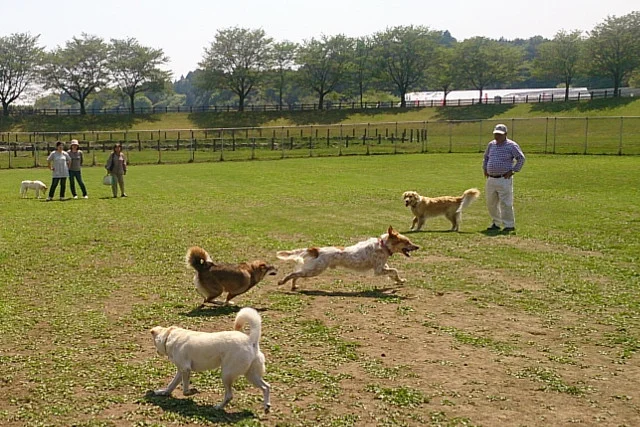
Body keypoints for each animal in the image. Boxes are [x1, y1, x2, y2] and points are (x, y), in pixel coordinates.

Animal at [276, 226, 420, 292]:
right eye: (407, 242)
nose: (418, 247)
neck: (383, 245)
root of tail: (316, 249)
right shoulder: (378, 270)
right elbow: (394, 270)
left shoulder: (382, 266)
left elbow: (394, 273)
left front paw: (400, 281)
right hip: (315, 270)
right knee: (293, 273)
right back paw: (282, 282)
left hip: (312, 269)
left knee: (296, 274)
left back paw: (294, 286)